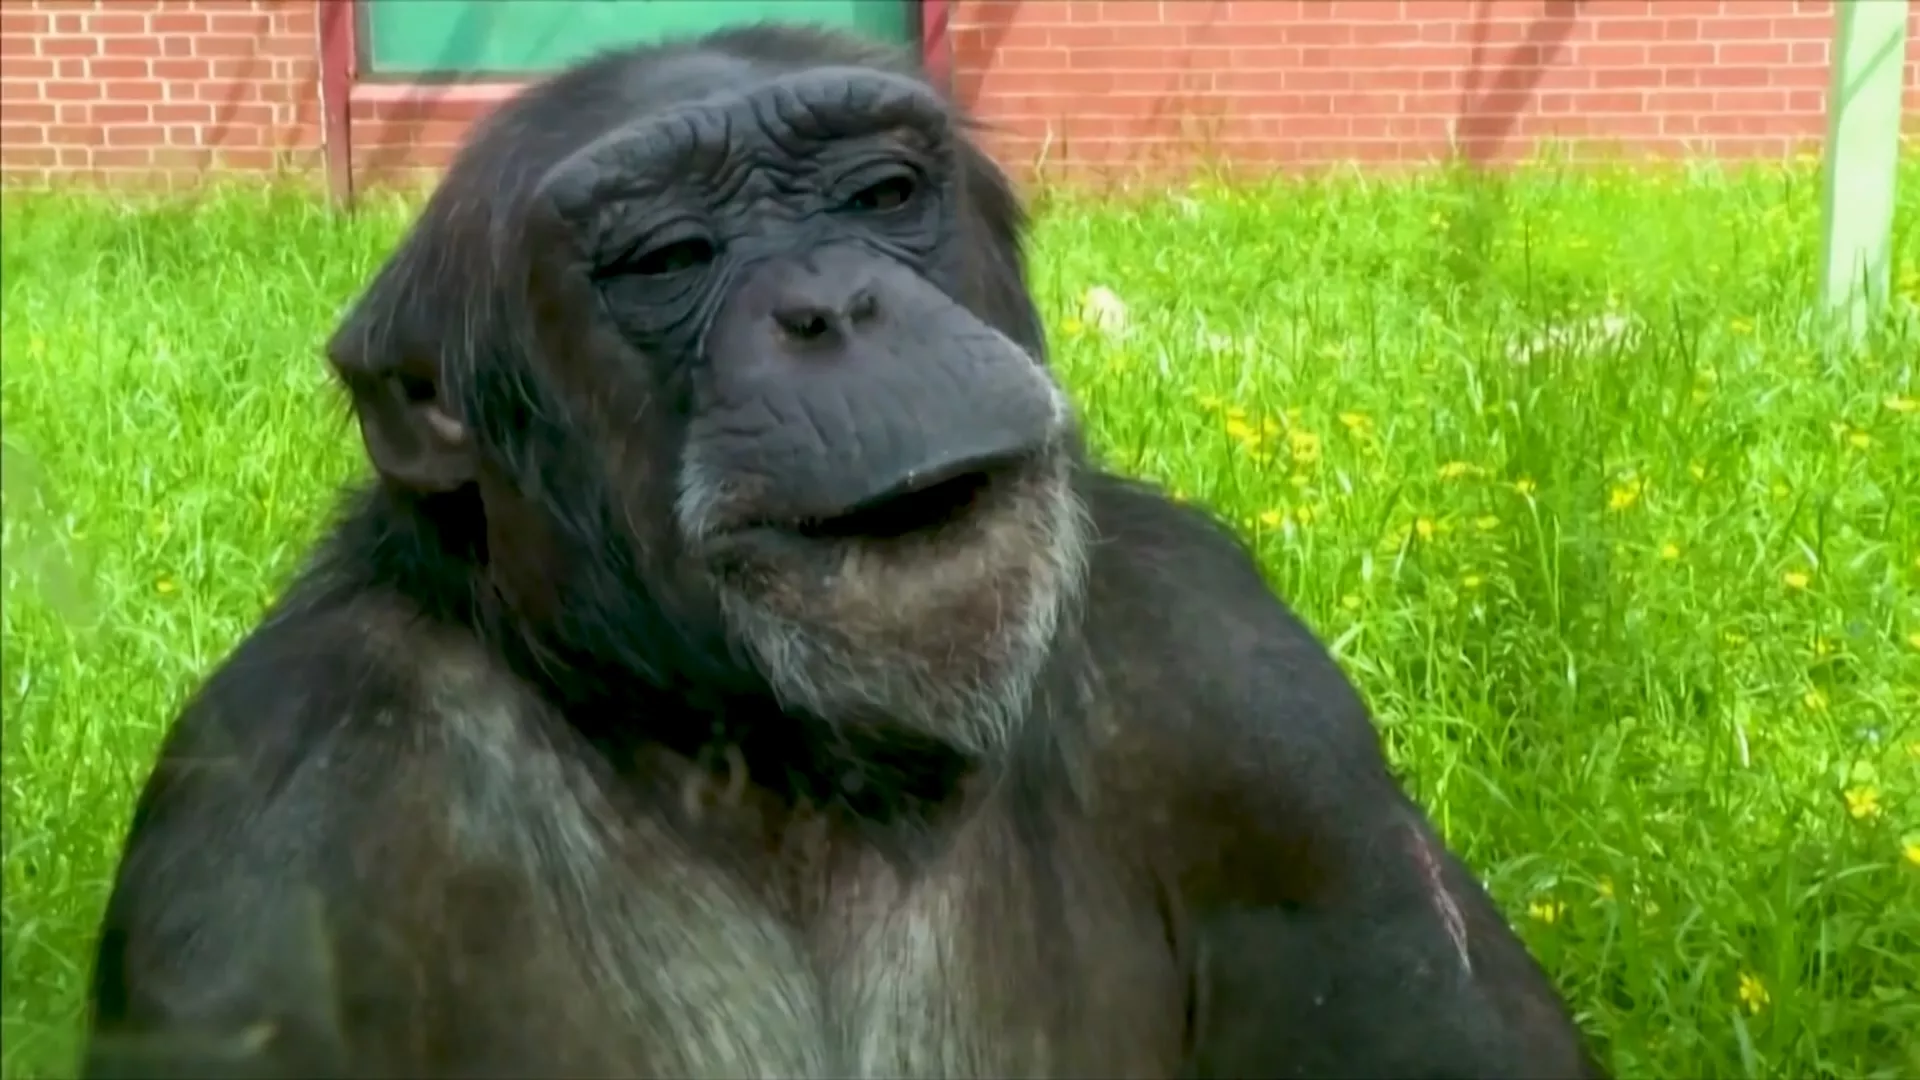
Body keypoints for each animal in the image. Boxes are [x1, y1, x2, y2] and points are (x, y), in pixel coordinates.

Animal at [80, 22, 1609, 1080]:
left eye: (879, 196)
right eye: (669, 257)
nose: (833, 304)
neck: (780, 763)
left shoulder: (1262, 717)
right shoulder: (257, 829)